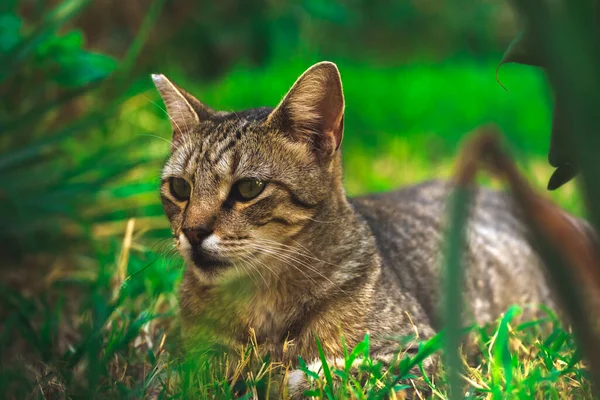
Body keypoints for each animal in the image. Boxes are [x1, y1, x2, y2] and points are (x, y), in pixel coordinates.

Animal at [152, 61, 560, 396]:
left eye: (248, 188)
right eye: (180, 188)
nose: (192, 231)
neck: (260, 304)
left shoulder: (423, 350)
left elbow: (323, 374)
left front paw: (281, 378)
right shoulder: (197, 352)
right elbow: (190, 372)